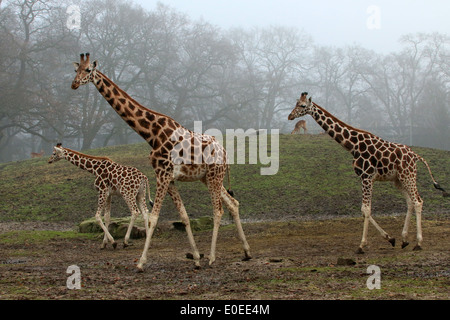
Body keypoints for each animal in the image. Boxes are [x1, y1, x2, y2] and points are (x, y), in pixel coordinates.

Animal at [72, 52, 251, 270]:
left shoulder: (162, 175)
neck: (151, 134)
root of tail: (224, 152)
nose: (74, 84)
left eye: (88, 70)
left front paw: (141, 262)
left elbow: (153, 217)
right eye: (76, 70)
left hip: (214, 176)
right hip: (207, 178)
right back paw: (246, 252)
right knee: (233, 203)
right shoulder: (170, 178)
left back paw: (212, 257)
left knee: (218, 210)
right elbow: (183, 217)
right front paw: (196, 258)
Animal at [288, 91, 446, 254]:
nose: (290, 116)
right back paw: (404, 240)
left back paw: (419, 243)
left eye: (303, 105)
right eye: (296, 103)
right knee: (409, 202)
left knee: (417, 201)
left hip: (408, 176)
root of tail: (415, 156)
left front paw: (361, 245)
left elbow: (366, 209)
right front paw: (390, 238)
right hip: (398, 180)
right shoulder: (363, 178)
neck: (353, 146)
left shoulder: (367, 177)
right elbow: (364, 210)